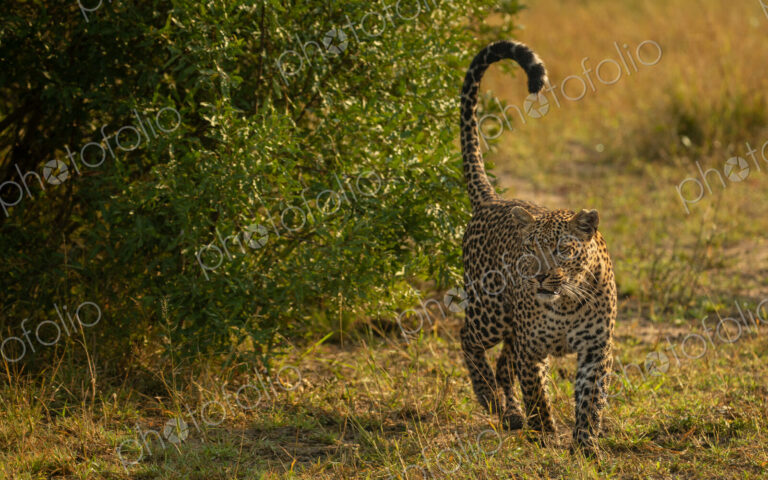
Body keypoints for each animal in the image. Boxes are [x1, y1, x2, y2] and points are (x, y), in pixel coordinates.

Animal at [458, 40, 618, 456]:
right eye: (530, 249)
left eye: (564, 249)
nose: (543, 277)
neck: (567, 303)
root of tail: (491, 200)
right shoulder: (532, 348)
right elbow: (537, 392)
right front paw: (545, 433)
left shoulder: (596, 350)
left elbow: (590, 399)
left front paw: (585, 446)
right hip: (490, 311)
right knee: (469, 340)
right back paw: (490, 399)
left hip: (508, 326)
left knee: (503, 365)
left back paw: (510, 414)